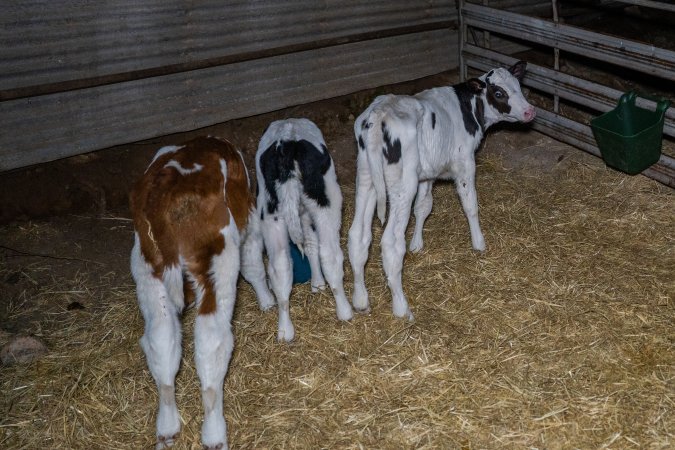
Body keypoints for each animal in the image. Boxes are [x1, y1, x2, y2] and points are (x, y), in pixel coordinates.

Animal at [129, 136, 275, 450]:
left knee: (161, 340)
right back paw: (214, 434)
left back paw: (167, 430)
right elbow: (254, 265)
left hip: (147, 271)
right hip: (218, 262)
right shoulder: (250, 221)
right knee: (211, 342)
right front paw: (268, 302)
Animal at [256, 118, 353, 342]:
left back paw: (285, 331)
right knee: (331, 255)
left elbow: (309, 245)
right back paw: (345, 311)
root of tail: (287, 143)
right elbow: (313, 245)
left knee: (281, 265)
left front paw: (317, 284)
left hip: (272, 215)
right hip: (327, 201)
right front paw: (319, 283)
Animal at [348, 61, 535, 321]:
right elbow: (470, 205)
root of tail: (380, 112)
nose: (530, 111)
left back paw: (360, 300)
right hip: (402, 186)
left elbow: (424, 207)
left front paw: (417, 244)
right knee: (390, 243)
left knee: (358, 236)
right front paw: (479, 243)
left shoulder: (427, 173)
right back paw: (401, 308)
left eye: (518, 85)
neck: (468, 108)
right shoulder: (465, 164)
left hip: (367, 179)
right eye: (499, 93)